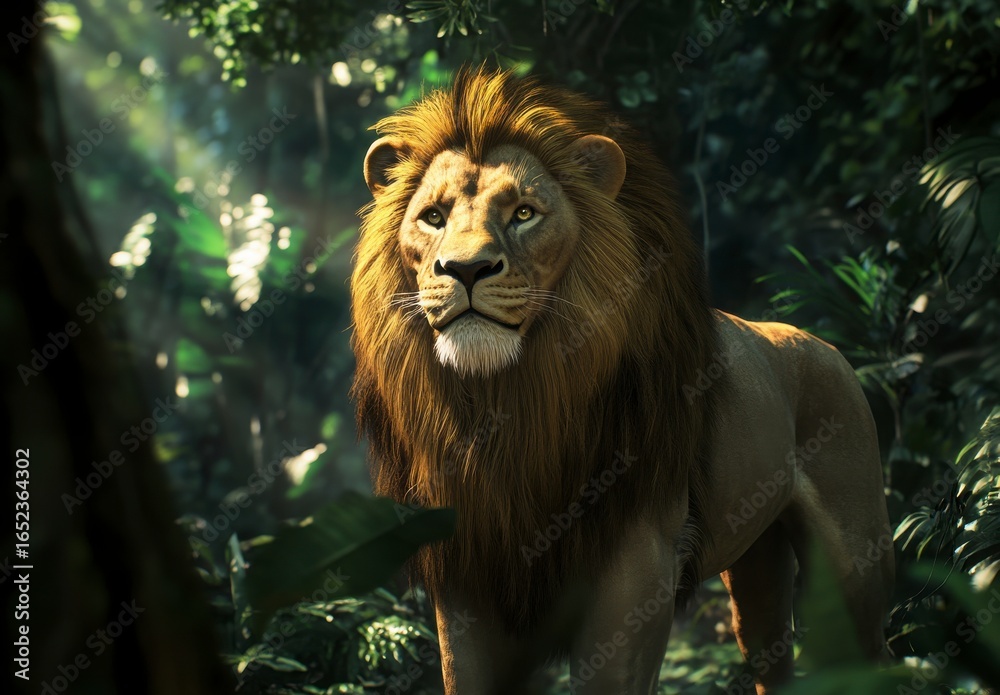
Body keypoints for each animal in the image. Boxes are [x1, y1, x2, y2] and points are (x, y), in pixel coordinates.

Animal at [350, 68, 893, 695]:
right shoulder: (469, 573)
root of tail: (823, 346)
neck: (508, 399)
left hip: (853, 562)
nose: (465, 269)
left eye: (524, 214)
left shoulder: (637, 567)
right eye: (433, 218)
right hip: (758, 568)